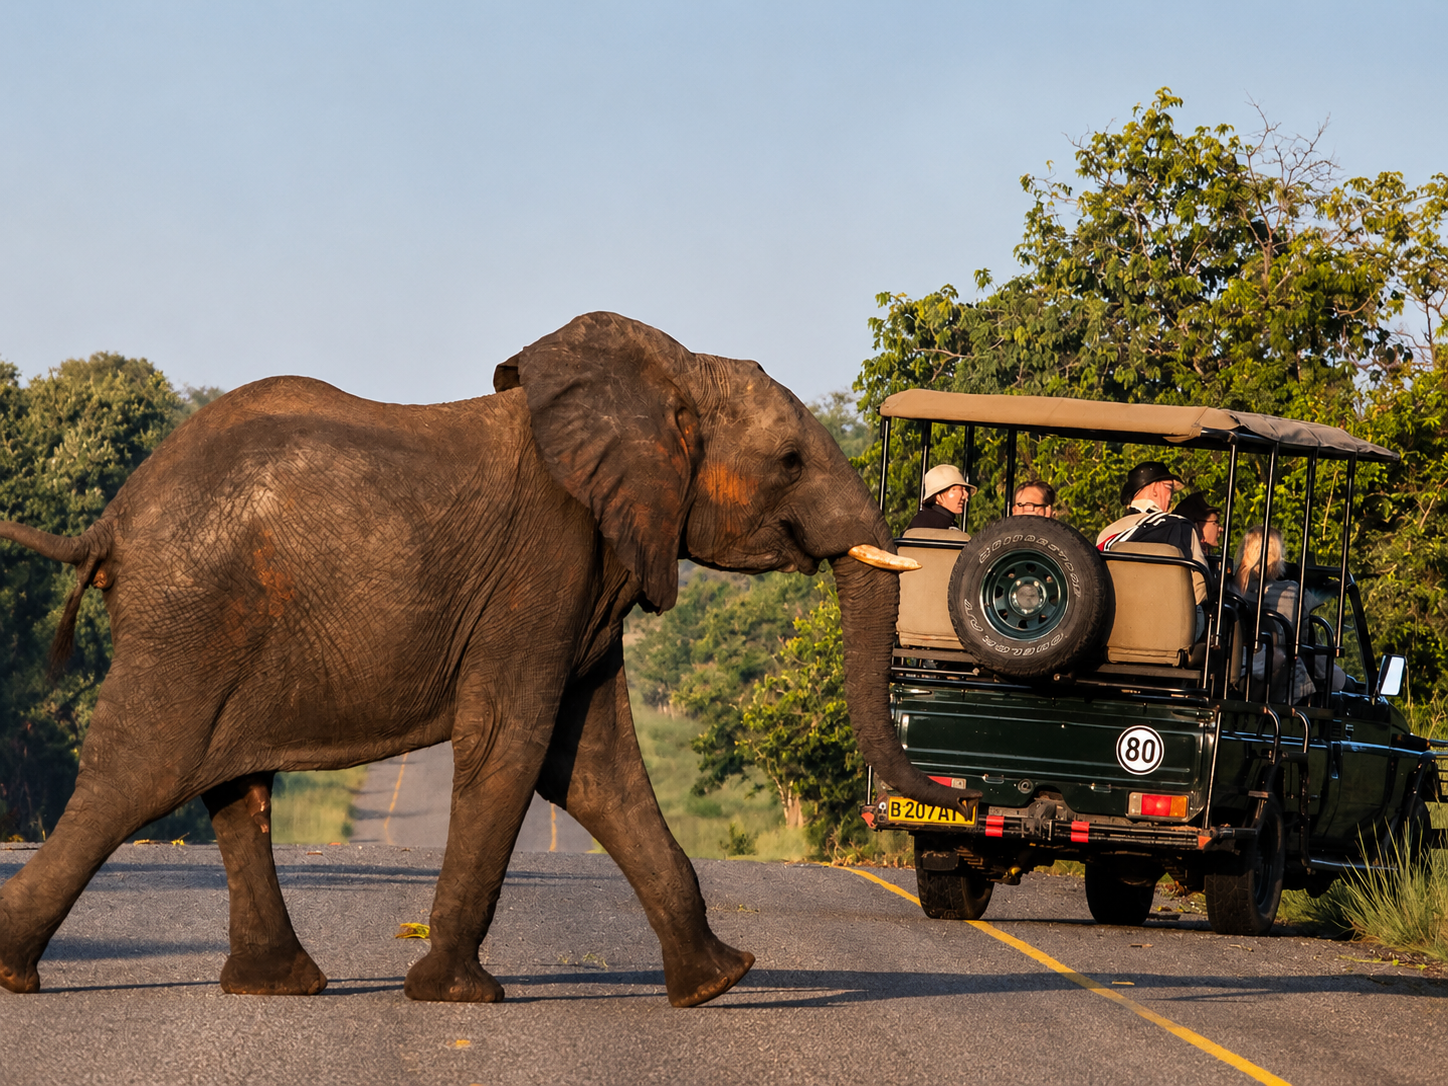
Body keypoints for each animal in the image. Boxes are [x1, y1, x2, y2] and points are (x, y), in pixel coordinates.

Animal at [0, 312, 972, 1006]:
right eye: (791, 460)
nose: (962, 800)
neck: (669, 373)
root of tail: (113, 518)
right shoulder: (544, 561)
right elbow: (515, 741)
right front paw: (459, 997)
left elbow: (596, 766)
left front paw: (719, 982)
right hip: (192, 617)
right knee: (140, 775)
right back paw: (16, 973)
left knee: (235, 787)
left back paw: (280, 987)